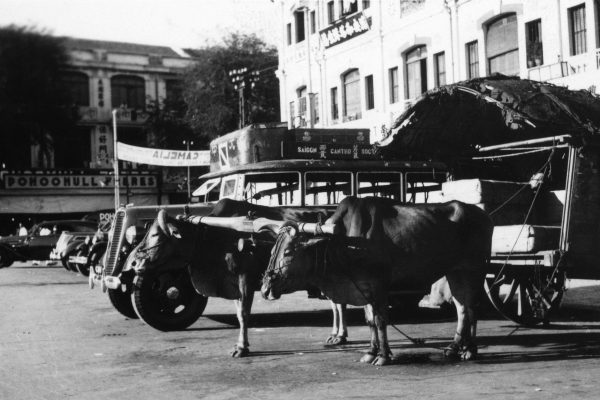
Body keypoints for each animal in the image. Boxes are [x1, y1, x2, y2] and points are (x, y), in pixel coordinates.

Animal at [127, 198, 344, 358]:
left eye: (155, 235)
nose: (134, 263)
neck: (215, 236)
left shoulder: (245, 280)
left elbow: (244, 315)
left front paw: (242, 348)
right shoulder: (232, 286)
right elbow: (239, 313)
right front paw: (241, 344)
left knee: (339, 303)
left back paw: (340, 335)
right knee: (337, 303)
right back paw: (337, 335)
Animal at [262, 196, 492, 366]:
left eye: (289, 251)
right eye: (272, 251)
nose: (265, 289)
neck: (345, 240)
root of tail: (482, 213)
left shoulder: (379, 285)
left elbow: (380, 320)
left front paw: (383, 355)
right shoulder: (363, 288)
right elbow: (370, 320)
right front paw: (371, 352)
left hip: (475, 270)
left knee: (472, 308)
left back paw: (470, 350)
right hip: (455, 272)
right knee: (462, 309)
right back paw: (454, 348)